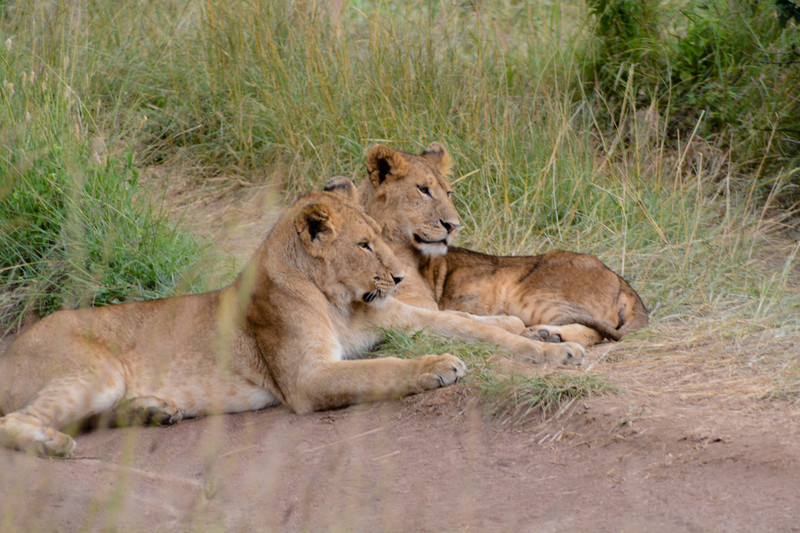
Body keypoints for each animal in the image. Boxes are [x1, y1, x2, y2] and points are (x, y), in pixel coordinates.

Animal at [340, 142, 648, 350]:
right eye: (423, 190)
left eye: (448, 192)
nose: (453, 225)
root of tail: (621, 280)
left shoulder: (422, 306)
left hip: (529, 298)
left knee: (598, 330)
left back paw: (548, 334)